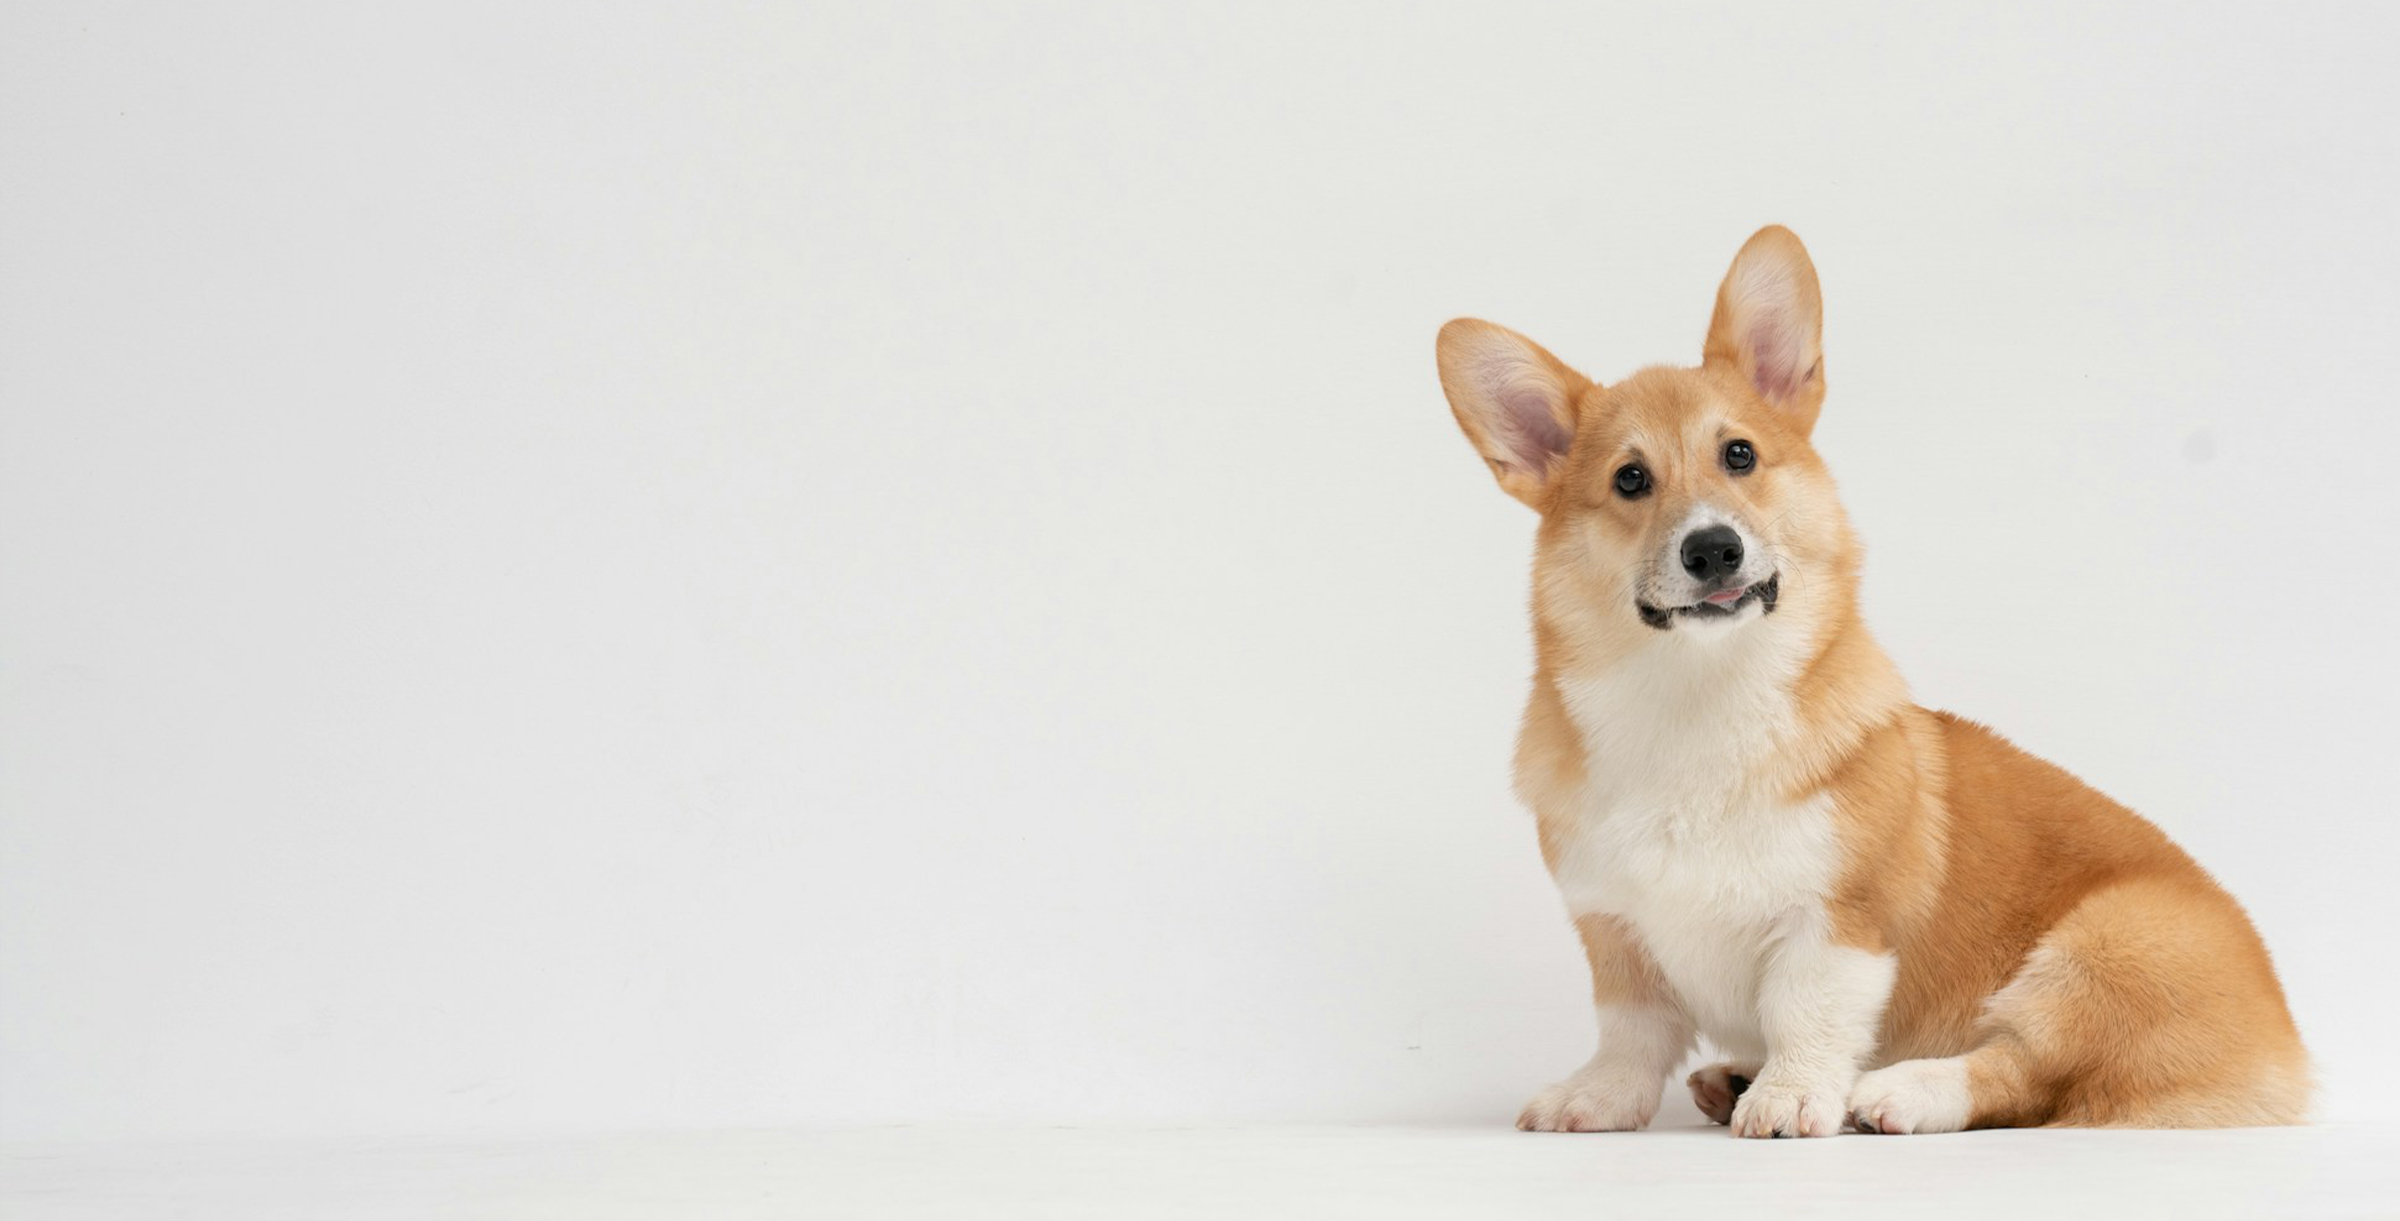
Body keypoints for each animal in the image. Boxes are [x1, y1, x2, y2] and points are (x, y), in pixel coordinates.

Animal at [1434, 227, 2308, 1136]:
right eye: (1629, 479)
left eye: (1739, 454)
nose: (1713, 548)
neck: (1697, 696)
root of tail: (2287, 1045)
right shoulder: (1614, 928)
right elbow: (1630, 1030)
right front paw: (1600, 1096)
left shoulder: (1838, 920)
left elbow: (1806, 1012)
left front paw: (1790, 1096)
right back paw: (1733, 1077)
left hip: (2105, 945)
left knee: (2026, 1068)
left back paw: (1898, 1091)